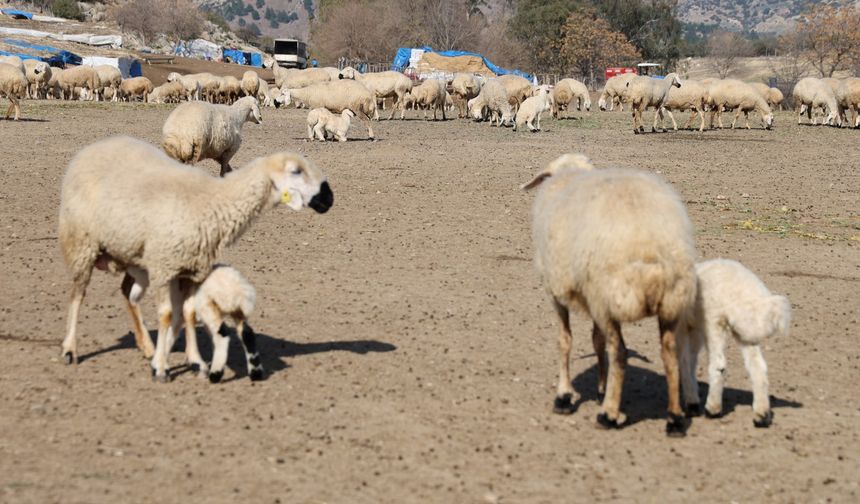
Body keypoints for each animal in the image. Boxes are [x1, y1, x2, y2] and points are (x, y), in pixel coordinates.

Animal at [57, 136, 332, 380]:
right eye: (296, 171)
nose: (329, 198)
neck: (211, 201)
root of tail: (92, 147)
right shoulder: (163, 267)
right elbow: (167, 315)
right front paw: (161, 368)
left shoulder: (190, 269)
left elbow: (188, 313)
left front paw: (195, 360)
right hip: (83, 244)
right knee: (77, 296)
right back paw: (70, 349)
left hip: (132, 254)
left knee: (128, 293)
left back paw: (147, 346)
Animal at [520, 152, 696, 436]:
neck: (570, 173)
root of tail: (649, 245)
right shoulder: (591, 296)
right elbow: (595, 340)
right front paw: (600, 387)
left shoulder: (558, 291)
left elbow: (565, 341)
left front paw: (564, 396)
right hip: (670, 300)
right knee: (670, 353)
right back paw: (675, 419)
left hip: (610, 297)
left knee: (620, 353)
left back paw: (609, 414)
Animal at [680, 260, 792, 430]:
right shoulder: (693, 328)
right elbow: (690, 359)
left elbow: (685, 361)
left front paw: (691, 401)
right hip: (746, 332)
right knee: (758, 366)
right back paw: (762, 415)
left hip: (713, 321)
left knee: (718, 364)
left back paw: (712, 409)